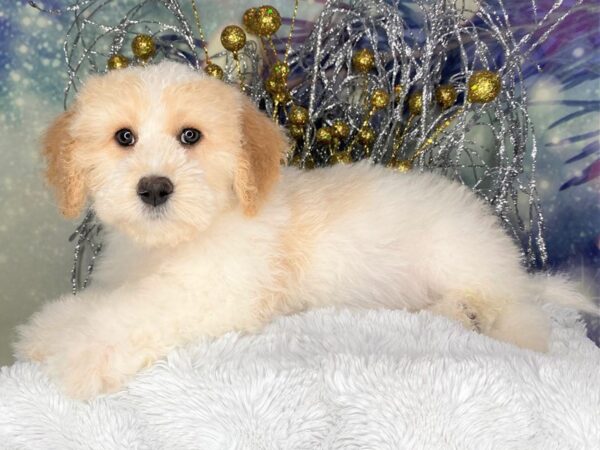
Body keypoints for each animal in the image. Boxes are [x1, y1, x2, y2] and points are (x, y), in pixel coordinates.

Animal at [15, 61, 596, 400]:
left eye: (190, 136)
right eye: (124, 137)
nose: (154, 188)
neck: (178, 241)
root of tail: (512, 264)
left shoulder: (213, 293)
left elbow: (131, 315)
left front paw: (83, 353)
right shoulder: (128, 280)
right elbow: (99, 304)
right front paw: (47, 331)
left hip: (463, 258)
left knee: (520, 319)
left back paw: (464, 313)